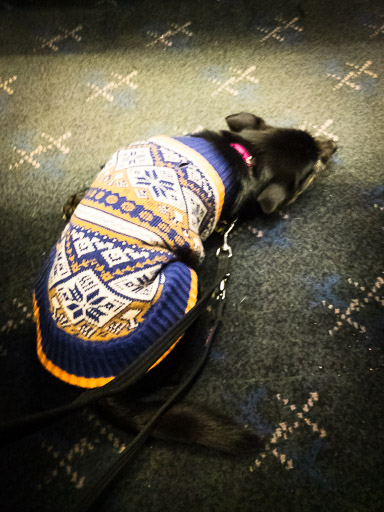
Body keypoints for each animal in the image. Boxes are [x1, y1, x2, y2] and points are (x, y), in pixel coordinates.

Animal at [34, 113, 338, 456]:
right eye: (312, 170)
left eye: (311, 136)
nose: (335, 143)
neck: (244, 154)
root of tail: (100, 389)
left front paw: (75, 200)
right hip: (186, 288)